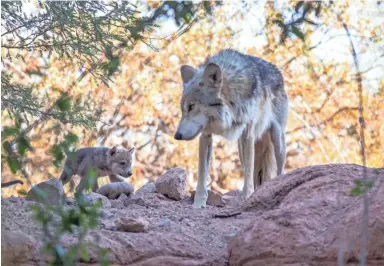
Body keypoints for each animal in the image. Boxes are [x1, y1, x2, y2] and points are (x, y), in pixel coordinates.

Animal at [174, 48, 288, 209]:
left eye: (191, 106)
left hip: (277, 139)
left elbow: (248, 174)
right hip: (241, 149)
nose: (176, 136)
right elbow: (202, 174)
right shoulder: (205, 136)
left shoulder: (248, 135)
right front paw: (198, 203)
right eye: (183, 109)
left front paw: (247, 197)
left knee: (279, 169)